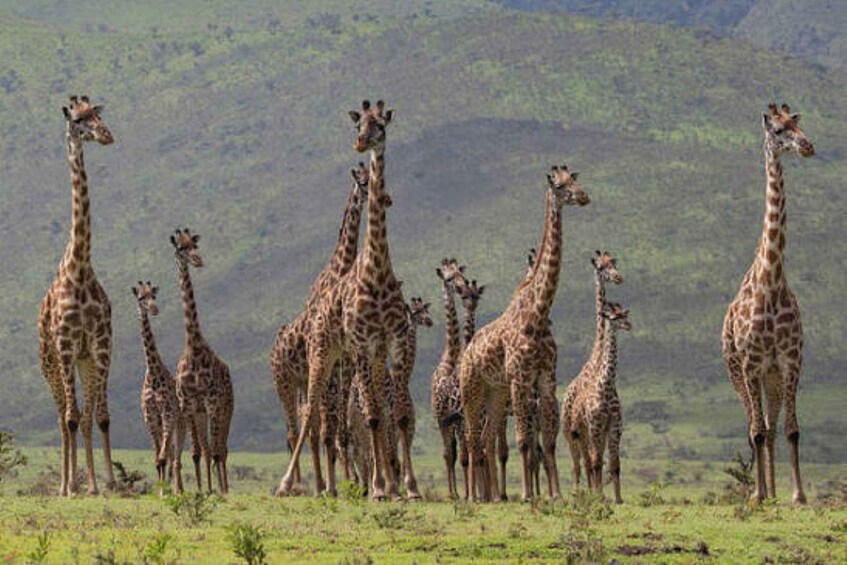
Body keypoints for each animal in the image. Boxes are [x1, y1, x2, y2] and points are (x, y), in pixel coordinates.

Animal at [271, 162, 369, 495]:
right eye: (359, 182)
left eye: (370, 179)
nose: (369, 194)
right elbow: (327, 427)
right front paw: (333, 484)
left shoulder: (344, 364)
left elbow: (338, 429)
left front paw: (350, 482)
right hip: (286, 382)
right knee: (294, 429)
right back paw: (301, 484)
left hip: (302, 379)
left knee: (309, 425)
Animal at [460, 164, 588, 501]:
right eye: (559, 186)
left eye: (575, 180)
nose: (584, 196)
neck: (539, 312)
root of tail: (466, 352)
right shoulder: (520, 377)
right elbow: (524, 439)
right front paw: (528, 495)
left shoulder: (545, 377)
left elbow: (549, 441)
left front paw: (555, 494)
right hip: (472, 388)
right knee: (471, 436)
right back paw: (473, 496)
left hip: (495, 391)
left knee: (486, 436)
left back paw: (494, 496)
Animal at [564, 301, 631, 498]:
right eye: (614, 317)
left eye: (625, 315)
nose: (629, 325)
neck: (607, 387)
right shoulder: (594, 425)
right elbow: (595, 462)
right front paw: (599, 496)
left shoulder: (614, 426)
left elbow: (615, 464)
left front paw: (618, 498)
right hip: (578, 433)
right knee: (584, 463)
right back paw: (584, 493)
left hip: (594, 433)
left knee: (593, 460)